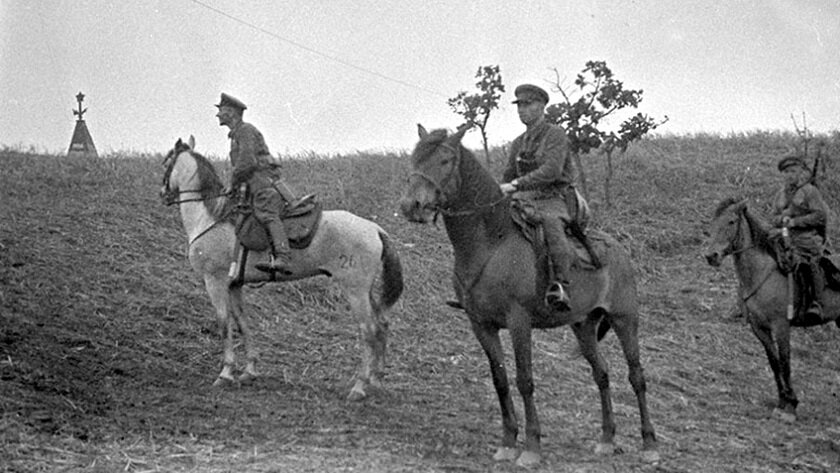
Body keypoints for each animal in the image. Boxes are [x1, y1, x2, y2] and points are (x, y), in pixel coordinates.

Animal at [162, 136, 406, 398]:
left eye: (167, 163)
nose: (162, 193)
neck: (211, 219)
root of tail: (375, 229)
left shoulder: (214, 282)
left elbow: (224, 323)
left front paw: (225, 373)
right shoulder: (234, 285)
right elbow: (242, 322)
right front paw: (249, 371)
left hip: (355, 291)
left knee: (368, 330)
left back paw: (359, 387)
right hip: (365, 291)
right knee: (381, 325)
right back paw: (377, 381)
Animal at [398, 124, 660, 464]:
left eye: (444, 160)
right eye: (416, 157)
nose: (411, 206)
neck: (492, 243)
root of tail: (618, 249)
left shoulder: (518, 322)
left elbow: (524, 380)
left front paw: (532, 447)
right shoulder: (481, 325)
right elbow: (500, 380)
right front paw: (508, 442)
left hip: (624, 319)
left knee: (636, 376)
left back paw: (650, 444)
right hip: (583, 326)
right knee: (601, 373)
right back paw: (606, 439)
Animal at [704, 195, 840, 420]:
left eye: (731, 222)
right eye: (712, 223)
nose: (711, 256)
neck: (762, 274)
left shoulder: (781, 326)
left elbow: (785, 362)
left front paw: (791, 406)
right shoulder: (759, 328)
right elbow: (774, 362)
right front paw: (783, 400)